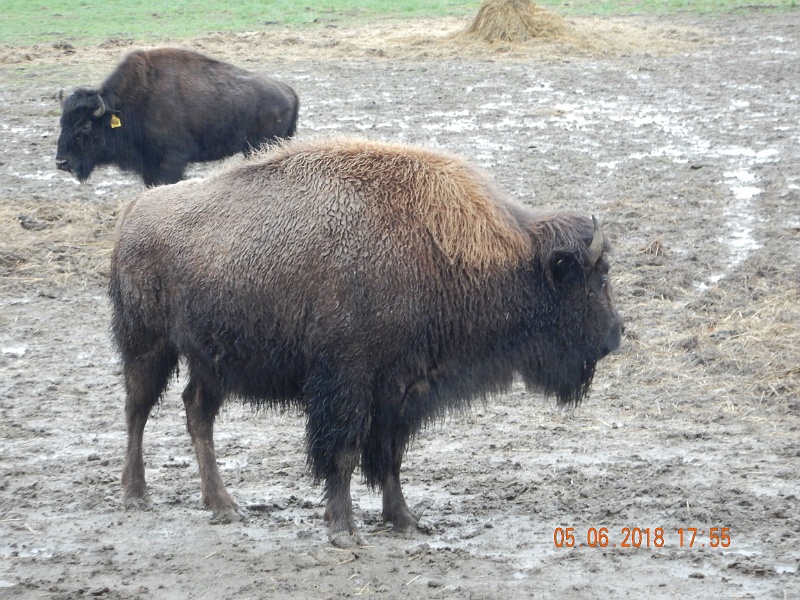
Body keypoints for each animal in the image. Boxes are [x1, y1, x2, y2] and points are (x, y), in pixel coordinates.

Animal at [56, 48, 299, 186]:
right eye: (62, 123)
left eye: (85, 125)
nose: (61, 162)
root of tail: (289, 91)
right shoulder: (149, 166)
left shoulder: (172, 160)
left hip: (260, 147)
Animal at [109, 137, 623, 546]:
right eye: (596, 278)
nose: (616, 334)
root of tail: (134, 210)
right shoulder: (347, 383)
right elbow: (344, 452)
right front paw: (343, 529)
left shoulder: (400, 390)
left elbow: (389, 456)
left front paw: (406, 520)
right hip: (148, 346)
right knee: (137, 410)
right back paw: (136, 495)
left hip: (211, 361)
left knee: (196, 411)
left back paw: (223, 505)